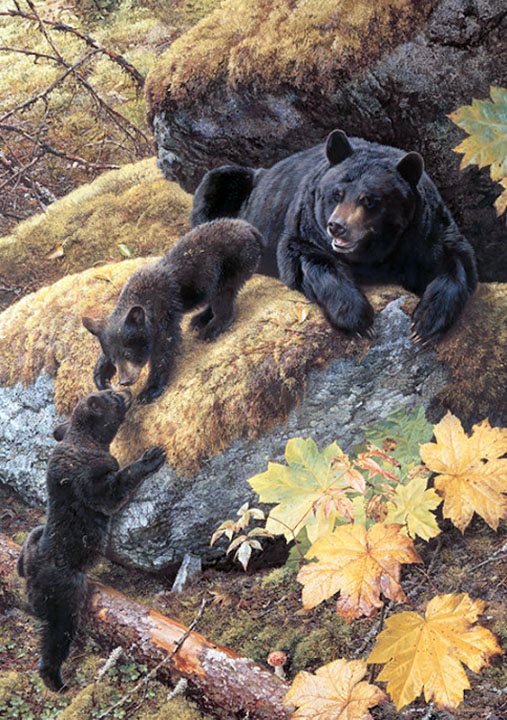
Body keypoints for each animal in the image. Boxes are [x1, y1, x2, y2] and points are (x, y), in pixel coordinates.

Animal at [17, 389, 165, 692]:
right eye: (112, 396)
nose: (125, 390)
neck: (85, 440)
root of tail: (31, 580)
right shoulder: (88, 479)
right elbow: (110, 491)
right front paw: (151, 457)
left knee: (33, 536)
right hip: (64, 593)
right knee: (58, 633)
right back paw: (56, 680)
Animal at [82, 218, 263, 403]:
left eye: (128, 354)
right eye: (113, 359)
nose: (124, 381)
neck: (139, 297)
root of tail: (249, 228)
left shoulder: (164, 312)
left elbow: (164, 347)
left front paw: (149, 390)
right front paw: (101, 378)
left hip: (232, 263)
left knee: (223, 294)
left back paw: (211, 328)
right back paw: (200, 318)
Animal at [191, 129, 478, 343]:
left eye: (369, 199)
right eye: (336, 193)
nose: (336, 226)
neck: (376, 254)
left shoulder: (423, 232)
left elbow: (454, 260)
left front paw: (426, 323)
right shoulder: (306, 223)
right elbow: (308, 260)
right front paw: (359, 321)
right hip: (231, 192)